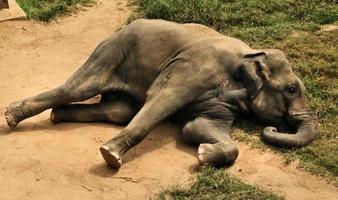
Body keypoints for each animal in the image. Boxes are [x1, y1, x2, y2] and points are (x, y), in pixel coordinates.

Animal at [3, 19, 316, 168]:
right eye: (291, 89)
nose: (274, 127)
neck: (252, 54)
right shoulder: (193, 68)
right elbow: (164, 100)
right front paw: (110, 157)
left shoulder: (224, 101)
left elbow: (196, 127)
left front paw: (203, 155)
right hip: (112, 51)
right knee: (79, 87)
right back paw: (11, 116)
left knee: (119, 111)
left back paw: (57, 116)